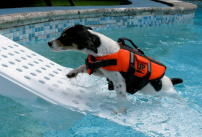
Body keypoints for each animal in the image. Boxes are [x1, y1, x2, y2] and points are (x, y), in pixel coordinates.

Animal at [47, 24, 183, 113]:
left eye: (65, 38)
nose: (49, 43)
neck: (104, 50)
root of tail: (170, 82)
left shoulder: (119, 82)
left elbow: (122, 99)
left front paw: (121, 113)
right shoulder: (101, 71)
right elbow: (83, 67)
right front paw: (72, 73)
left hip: (170, 93)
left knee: (179, 98)